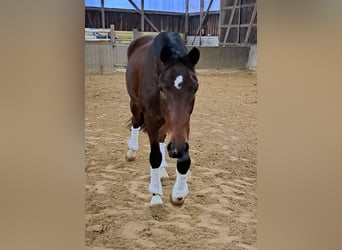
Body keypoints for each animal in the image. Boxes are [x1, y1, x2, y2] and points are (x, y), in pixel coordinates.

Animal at [125, 31, 200, 207]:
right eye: (162, 88)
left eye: (195, 87)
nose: (176, 149)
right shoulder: (151, 119)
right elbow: (155, 157)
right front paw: (156, 196)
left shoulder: (184, 123)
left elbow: (183, 159)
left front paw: (178, 194)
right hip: (135, 105)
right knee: (136, 123)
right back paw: (131, 151)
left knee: (161, 137)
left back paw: (163, 172)